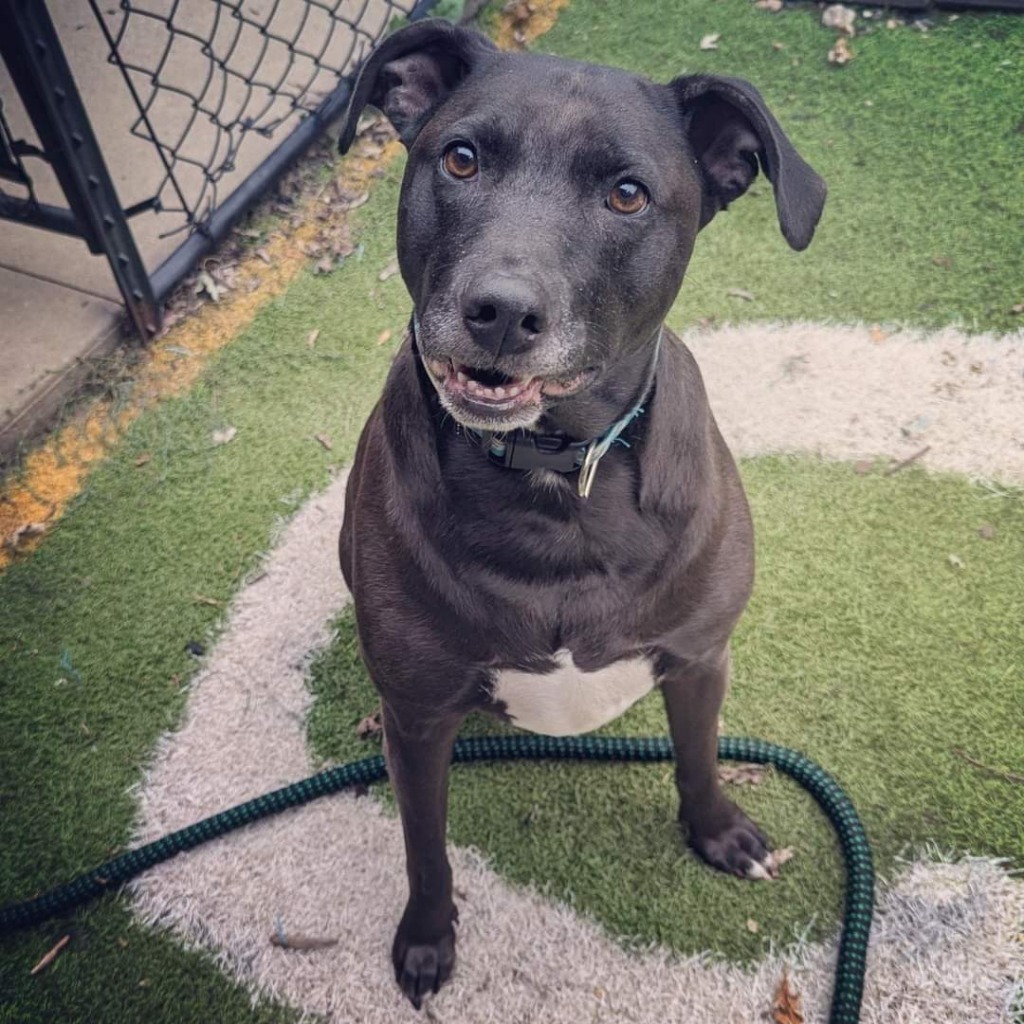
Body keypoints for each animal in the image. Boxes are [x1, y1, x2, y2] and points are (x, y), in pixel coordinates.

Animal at [335, 18, 823, 1007]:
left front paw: (718, 832)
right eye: (461, 158)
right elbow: (424, 846)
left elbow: (699, 754)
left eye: (627, 194)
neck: (555, 480)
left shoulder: (700, 655)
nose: (499, 311)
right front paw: (427, 938)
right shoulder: (418, 718)